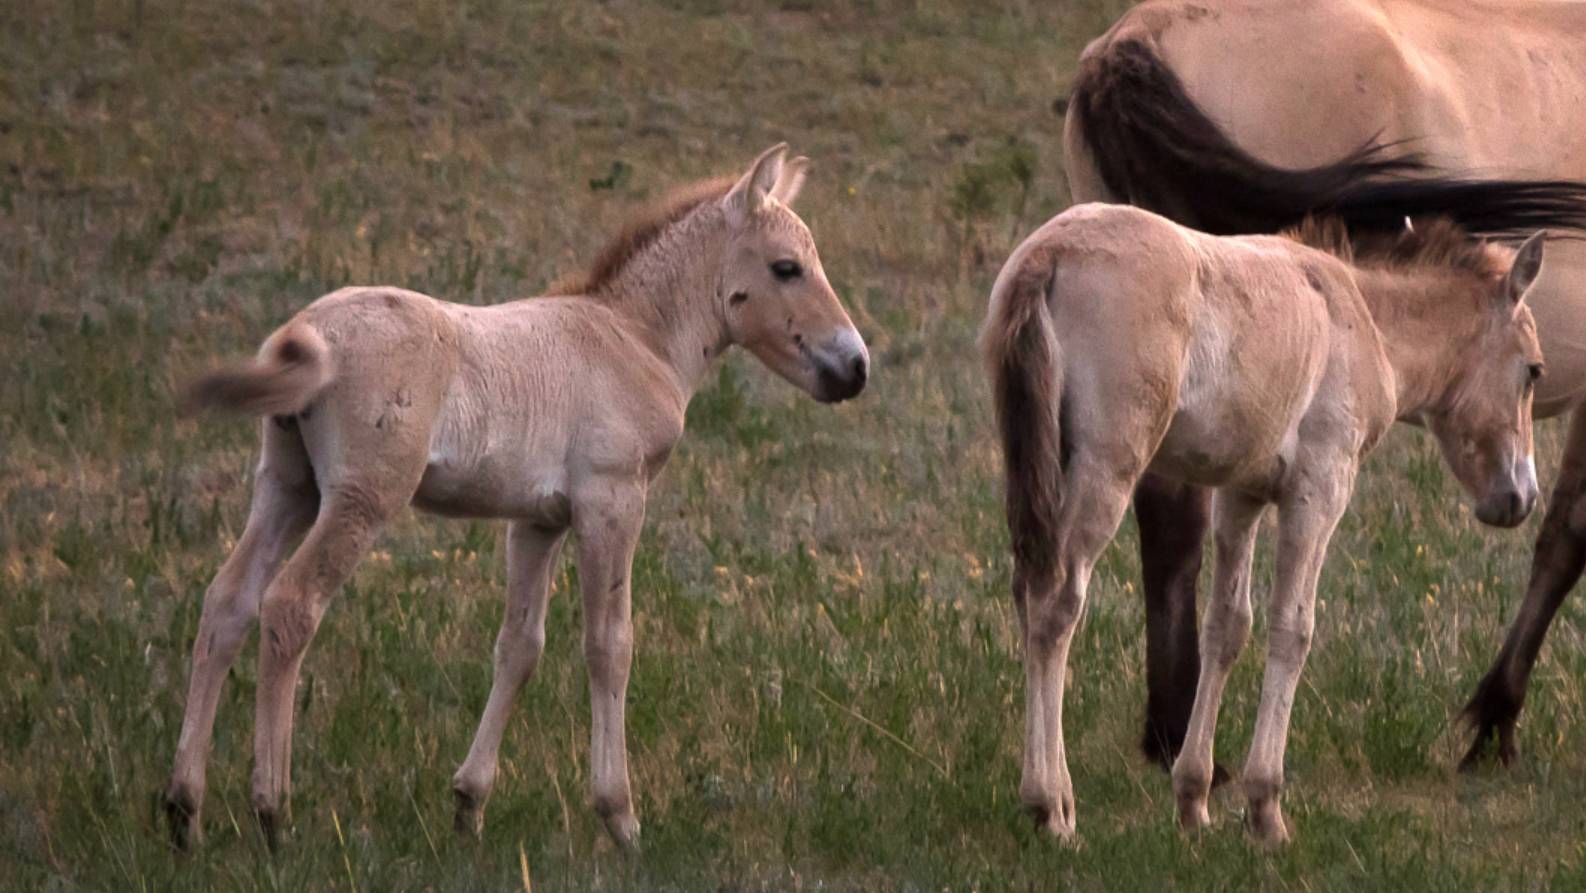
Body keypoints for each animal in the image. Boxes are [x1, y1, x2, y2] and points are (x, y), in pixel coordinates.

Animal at [160, 141, 869, 850]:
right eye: (786, 267)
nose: (855, 368)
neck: (635, 337)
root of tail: (305, 330)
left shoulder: (538, 520)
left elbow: (519, 647)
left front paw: (468, 805)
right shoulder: (611, 502)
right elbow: (609, 645)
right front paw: (620, 818)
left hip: (288, 487)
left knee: (228, 601)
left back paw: (184, 811)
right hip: (362, 498)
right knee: (290, 606)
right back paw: (272, 813)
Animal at [989, 206, 1547, 850]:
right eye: (1534, 371)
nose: (1521, 498)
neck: (1362, 318)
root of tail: (1047, 254)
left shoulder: (1241, 493)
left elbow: (1227, 627)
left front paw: (1193, 800)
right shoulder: (1319, 489)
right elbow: (1292, 627)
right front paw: (1265, 809)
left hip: (1041, 468)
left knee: (1027, 592)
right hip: (1108, 467)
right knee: (1057, 605)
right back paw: (1052, 806)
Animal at [1059, 0, 1586, 767]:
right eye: (1532, 370)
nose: (1512, 497)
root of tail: (1140, 35)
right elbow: (1568, 536)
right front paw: (1495, 718)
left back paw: (1168, 730)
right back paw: (1184, 735)